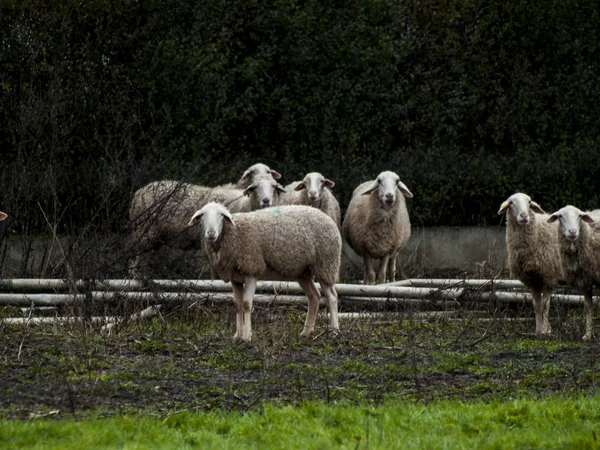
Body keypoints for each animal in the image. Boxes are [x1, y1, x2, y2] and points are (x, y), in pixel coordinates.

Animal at [186, 201, 342, 342]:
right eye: (202, 216)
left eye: (221, 215)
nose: (211, 233)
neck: (233, 233)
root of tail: (327, 217)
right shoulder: (235, 278)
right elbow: (237, 306)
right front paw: (237, 336)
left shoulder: (252, 269)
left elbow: (246, 304)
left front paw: (247, 336)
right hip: (302, 271)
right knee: (314, 296)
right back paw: (306, 332)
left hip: (326, 264)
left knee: (332, 297)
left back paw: (334, 331)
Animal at [494, 192, 564, 336]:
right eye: (511, 203)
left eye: (529, 202)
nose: (524, 216)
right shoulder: (533, 279)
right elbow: (536, 306)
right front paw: (538, 331)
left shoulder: (549, 275)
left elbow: (545, 306)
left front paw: (546, 330)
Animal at [548, 206, 600, 340]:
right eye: (560, 216)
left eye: (580, 216)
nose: (572, 232)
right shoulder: (585, 280)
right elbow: (587, 307)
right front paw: (587, 335)